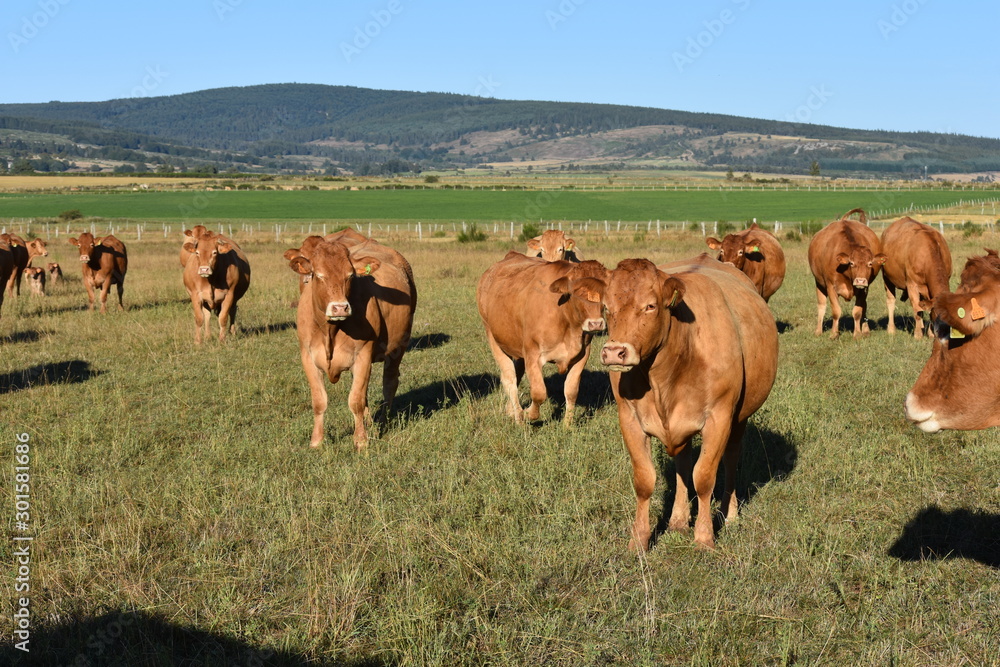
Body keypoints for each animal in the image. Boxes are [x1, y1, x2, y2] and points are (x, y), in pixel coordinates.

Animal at [286, 234, 416, 450]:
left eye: (350, 276)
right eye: (318, 275)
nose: (340, 308)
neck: (329, 331)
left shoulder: (363, 355)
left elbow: (355, 400)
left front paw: (361, 440)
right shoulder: (307, 357)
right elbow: (319, 401)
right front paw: (317, 441)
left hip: (399, 345)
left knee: (389, 382)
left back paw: (383, 421)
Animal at [477, 252, 610, 426]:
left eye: (606, 292)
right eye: (576, 291)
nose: (596, 324)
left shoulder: (583, 354)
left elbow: (571, 390)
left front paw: (567, 425)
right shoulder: (533, 354)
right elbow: (539, 393)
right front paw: (527, 414)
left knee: (517, 374)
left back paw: (511, 411)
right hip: (493, 336)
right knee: (509, 379)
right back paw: (518, 416)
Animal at [600, 254, 778, 550]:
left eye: (650, 306)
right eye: (606, 307)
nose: (614, 352)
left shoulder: (719, 417)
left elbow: (704, 477)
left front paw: (705, 538)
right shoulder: (629, 418)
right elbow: (645, 480)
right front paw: (639, 539)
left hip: (740, 417)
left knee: (730, 459)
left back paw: (730, 515)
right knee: (683, 464)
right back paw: (679, 520)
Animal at [807, 209, 887, 338]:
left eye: (870, 264)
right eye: (852, 263)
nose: (860, 280)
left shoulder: (863, 290)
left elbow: (858, 312)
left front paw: (858, 333)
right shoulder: (830, 287)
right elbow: (836, 311)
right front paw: (834, 334)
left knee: (864, 307)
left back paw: (865, 330)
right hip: (819, 284)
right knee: (821, 306)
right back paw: (818, 331)